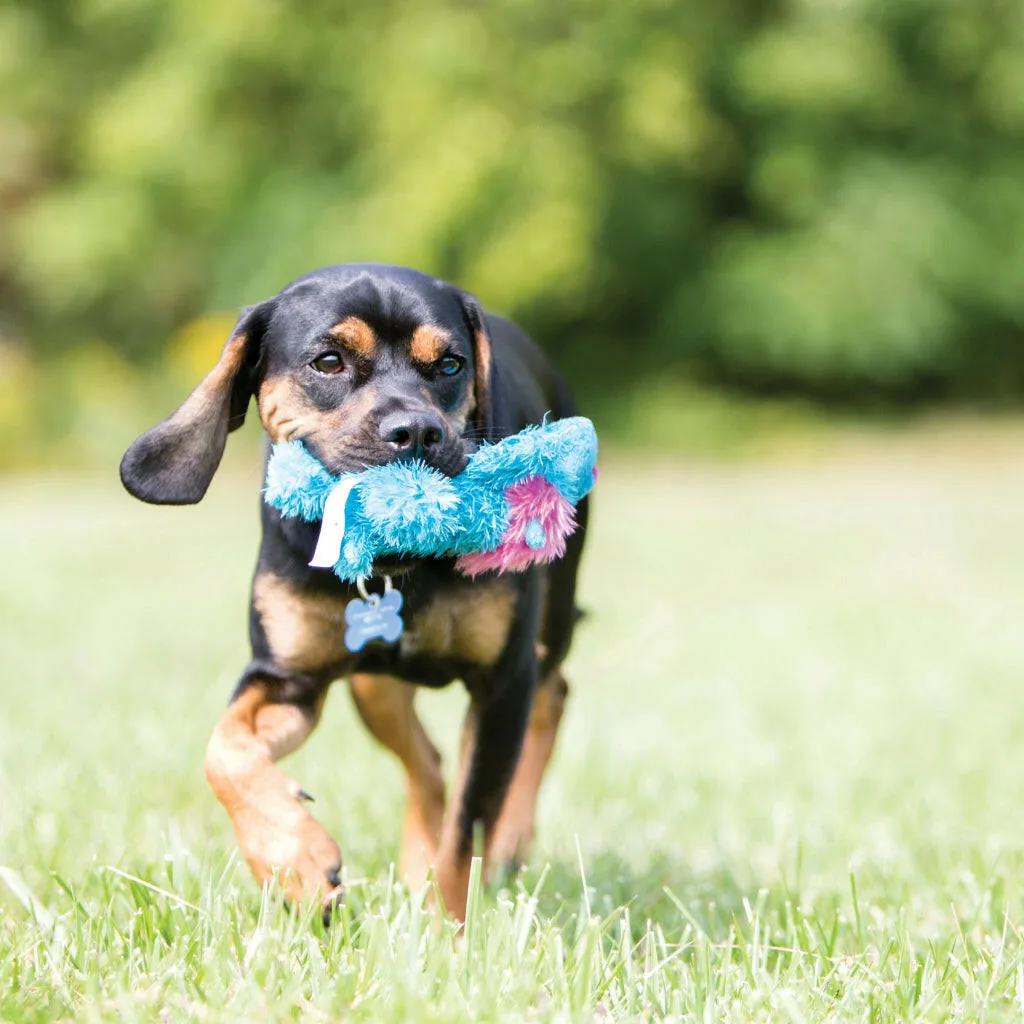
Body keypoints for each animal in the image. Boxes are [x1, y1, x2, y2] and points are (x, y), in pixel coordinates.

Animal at [119, 262, 589, 921]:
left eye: (451, 365)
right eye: (329, 361)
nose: (415, 430)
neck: (398, 560)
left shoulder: (502, 682)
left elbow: (467, 832)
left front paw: (449, 933)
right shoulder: (289, 677)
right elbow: (225, 750)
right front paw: (294, 861)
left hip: (549, 621)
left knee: (551, 698)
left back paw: (509, 843)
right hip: (373, 683)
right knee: (429, 765)